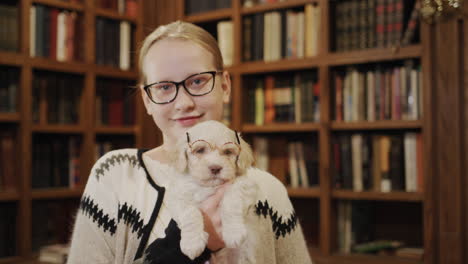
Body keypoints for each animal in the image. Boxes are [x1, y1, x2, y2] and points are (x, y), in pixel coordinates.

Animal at [166, 120, 258, 262]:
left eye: (227, 152)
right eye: (200, 150)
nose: (215, 168)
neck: (209, 186)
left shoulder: (245, 186)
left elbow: (230, 202)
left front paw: (234, 233)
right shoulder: (177, 196)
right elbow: (190, 213)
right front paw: (192, 244)